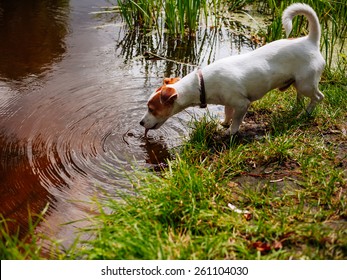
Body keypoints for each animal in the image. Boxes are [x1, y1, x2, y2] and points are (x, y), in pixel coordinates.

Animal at [140, 3, 324, 137]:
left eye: (152, 110)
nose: (141, 123)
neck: (201, 84)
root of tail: (310, 41)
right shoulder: (228, 103)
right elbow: (228, 114)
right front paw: (223, 124)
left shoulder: (242, 104)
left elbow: (236, 120)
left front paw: (230, 131)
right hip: (298, 83)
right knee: (301, 97)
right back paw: (296, 109)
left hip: (306, 84)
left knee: (318, 97)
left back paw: (306, 113)